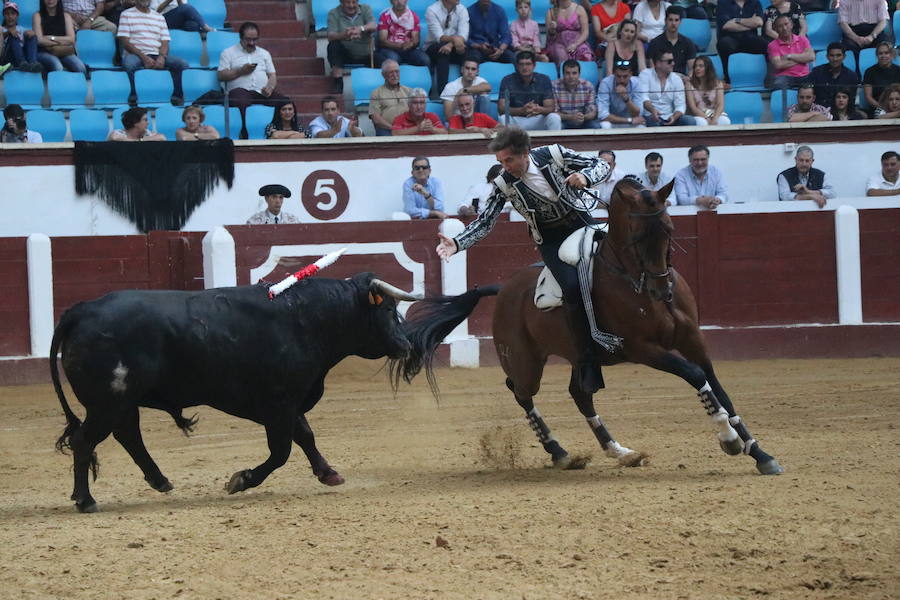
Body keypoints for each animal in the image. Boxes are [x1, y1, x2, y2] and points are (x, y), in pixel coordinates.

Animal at [52, 272, 488, 510]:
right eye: (386, 310)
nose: (405, 345)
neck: (307, 318)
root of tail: (81, 311)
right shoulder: (277, 403)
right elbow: (281, 451)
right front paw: (241, 479)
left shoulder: (291, 402)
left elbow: (306, 436)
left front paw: (328, 473)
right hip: (107, 401)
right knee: (86, 441)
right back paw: (85, 500)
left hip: (121, 401)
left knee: (126, 435)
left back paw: (160, 481)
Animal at [394, 176, 780, 476]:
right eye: (638, 236)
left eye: (669, 230)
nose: (662, 290)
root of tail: (503, 289)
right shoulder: (644, 349)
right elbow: (696, 376)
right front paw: (729, 440)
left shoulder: (693, 340)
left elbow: (720, 389)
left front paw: (759, 453)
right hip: (525, 360)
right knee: (520, 391)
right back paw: (560, 452)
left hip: (580, 357)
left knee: (579, 394)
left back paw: (620, 452)